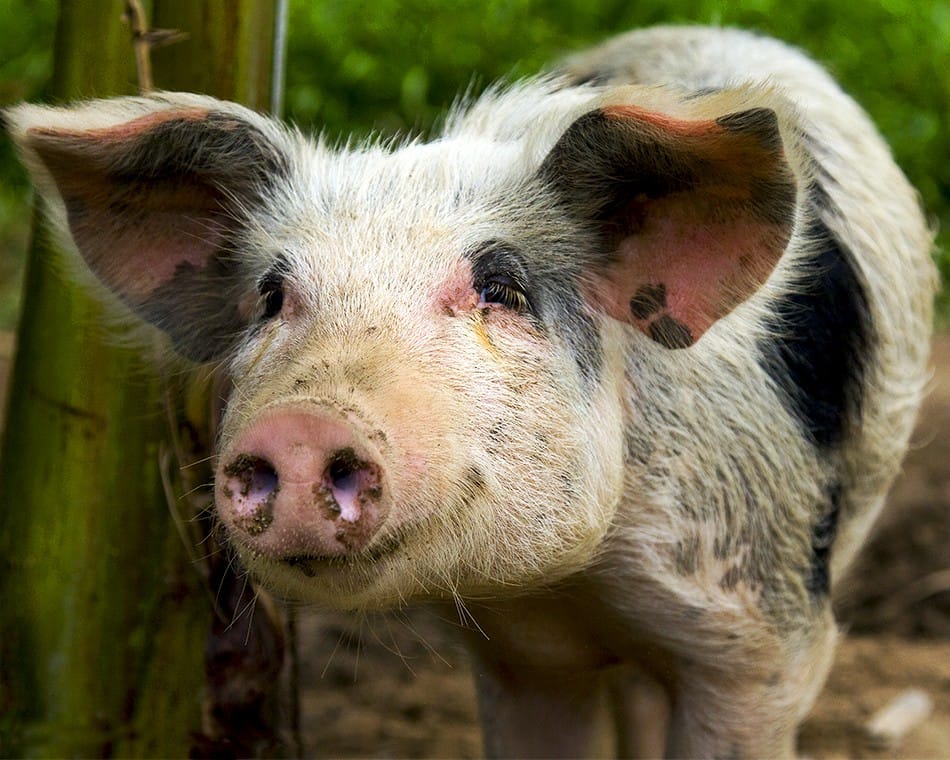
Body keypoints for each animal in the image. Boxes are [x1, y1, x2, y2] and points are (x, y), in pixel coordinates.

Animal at [5, 24, 936, 758]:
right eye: (271, 296)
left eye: (502, 287)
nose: (300, 426)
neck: (581, 585)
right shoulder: (520, 660)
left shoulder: (764, 638)